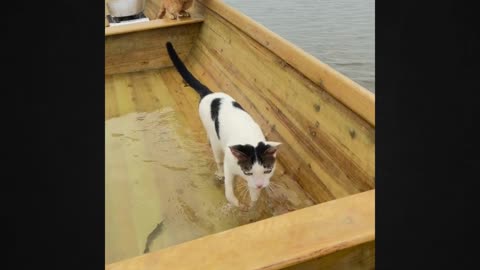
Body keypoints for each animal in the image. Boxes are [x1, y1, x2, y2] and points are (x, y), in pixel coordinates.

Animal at [166, 41, 282, 209]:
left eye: (268, 170)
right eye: (248, 172)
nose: (260, 185)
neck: (250, 139)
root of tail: (209, 94)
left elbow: (253, 194)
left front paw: (252, 203)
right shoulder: (230, 165)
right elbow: (228, 191)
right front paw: (236, 203)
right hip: (215, 141)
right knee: (218, 158)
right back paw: (219, 173)